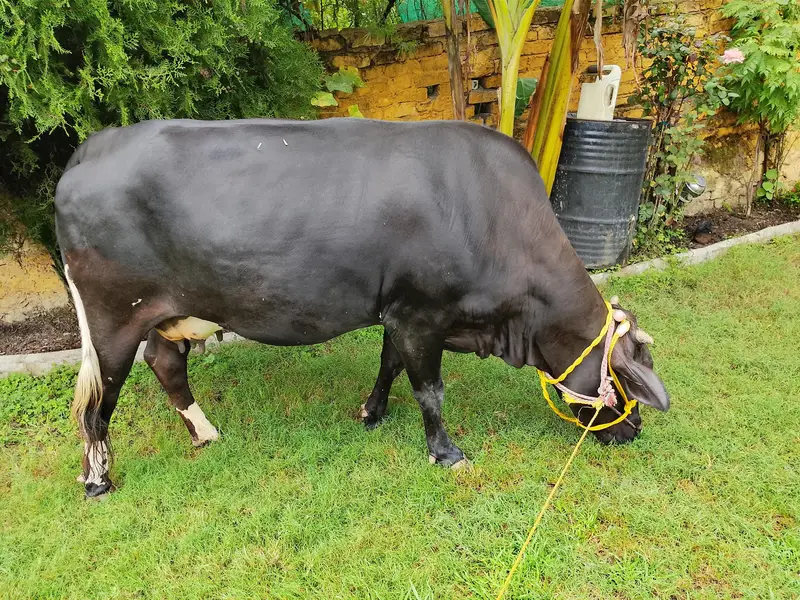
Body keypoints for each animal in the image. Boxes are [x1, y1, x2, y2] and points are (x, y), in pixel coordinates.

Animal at [55, 118, 670, 498]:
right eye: (624, 379)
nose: (634, 430)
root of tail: (93, 148)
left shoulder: (399, 311)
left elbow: (389, 364)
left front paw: (372, 412)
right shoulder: (421, 313)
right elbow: (428, 388)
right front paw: (446, 453)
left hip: (169, 314)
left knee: (165, 364)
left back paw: (205, 433)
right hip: (112, 318)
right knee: (96, 404)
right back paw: (97, 481)